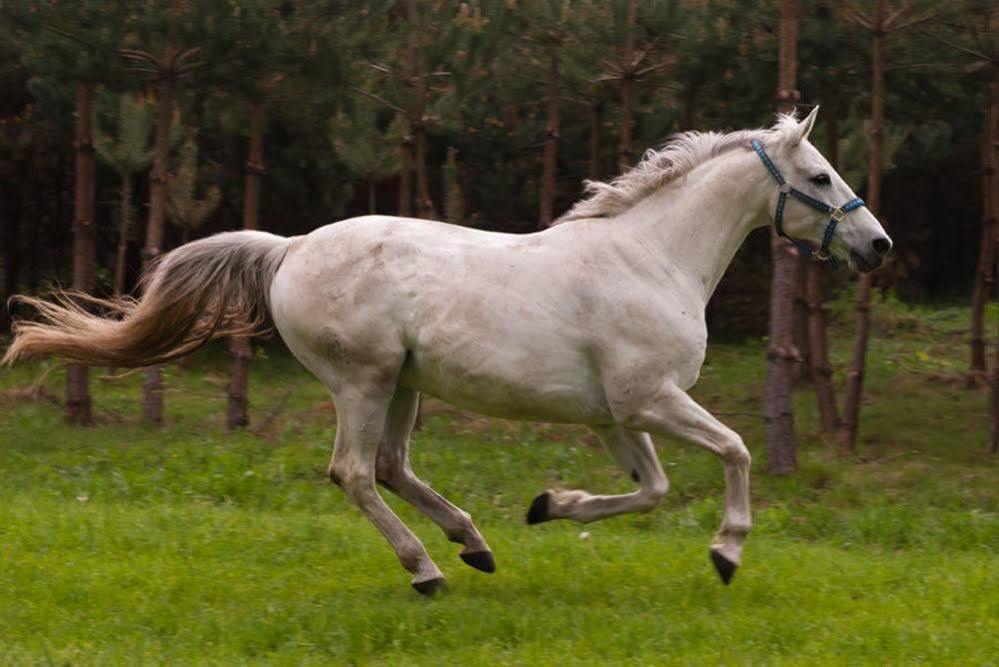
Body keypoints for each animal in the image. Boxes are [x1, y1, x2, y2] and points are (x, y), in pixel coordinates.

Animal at [1, 108, 892, 596]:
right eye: (818, 175)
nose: (877, 245)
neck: (651, 256)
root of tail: (289, 248)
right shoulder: (650, 399)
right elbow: (734, 450)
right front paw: (726, 552)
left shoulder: (617, 414)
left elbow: (652, 489)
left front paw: (548, 505)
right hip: (362, 381)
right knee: (356, 474)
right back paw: (427, 568)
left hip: (404, 384)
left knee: (391, 467)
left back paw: (476, 543)